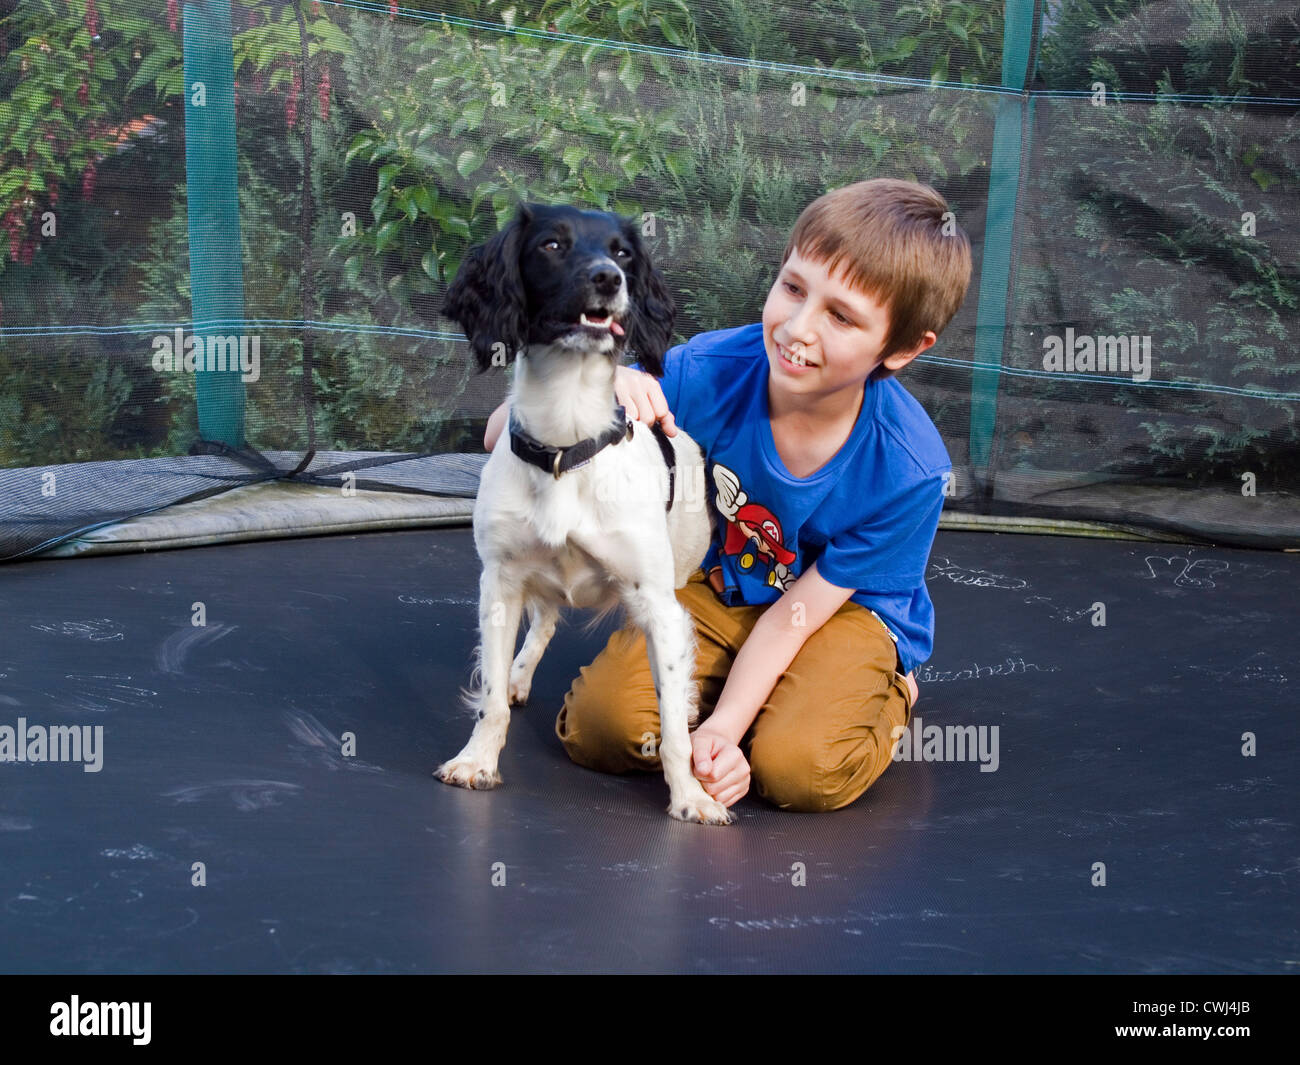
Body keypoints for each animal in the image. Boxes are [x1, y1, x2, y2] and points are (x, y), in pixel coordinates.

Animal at [436, 204, 738, 827]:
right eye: (552, 245)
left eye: (623, 252)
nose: (607, 278)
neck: (565, 442)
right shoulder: (499, 584)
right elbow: (492, 699)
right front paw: (478, 760)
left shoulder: (659, 606)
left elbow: (674, 730)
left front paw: (690, 796)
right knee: (544, 624)